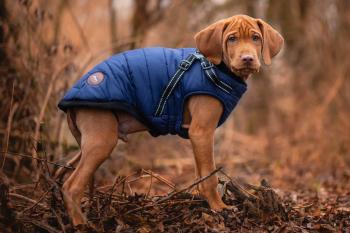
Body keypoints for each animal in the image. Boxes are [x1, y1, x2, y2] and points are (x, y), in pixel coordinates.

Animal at [60, 15, 284, 226]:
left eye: (256, 38)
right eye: (232, 39)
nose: (248, 58)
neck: (216, 69)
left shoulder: (196, 136)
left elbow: (201, 174)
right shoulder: (202, 131)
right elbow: (210, 175)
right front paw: (219, 207)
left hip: (89, 143)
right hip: (102, 139)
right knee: (71, 187)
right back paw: (81, 224)